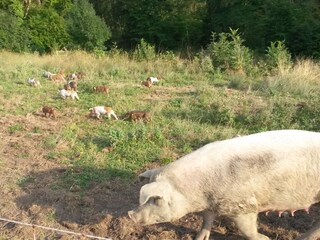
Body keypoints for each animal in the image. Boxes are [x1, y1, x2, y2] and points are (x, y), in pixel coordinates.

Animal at [129, 129, 320, 240]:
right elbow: (207, 219)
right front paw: (199, 238)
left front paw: (265, 238)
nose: (131, 215)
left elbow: (247, 230)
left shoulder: (244, 206)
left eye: (156, 199)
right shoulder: (210, 204)